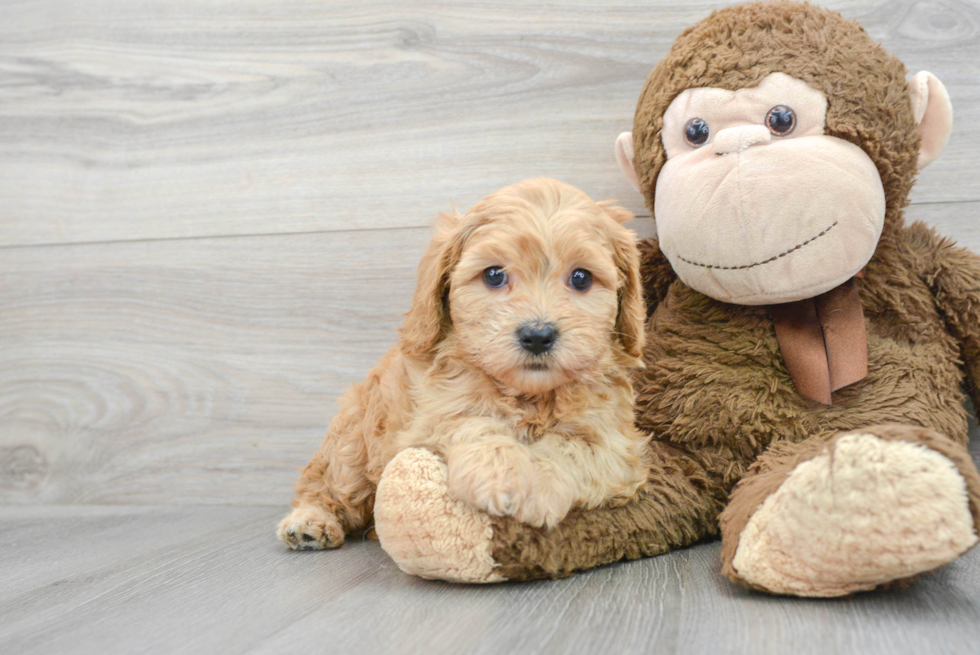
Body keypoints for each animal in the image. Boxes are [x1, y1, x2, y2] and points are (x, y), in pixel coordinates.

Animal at [280, 178, 648, 548]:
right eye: (494, 275)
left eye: (581, 278)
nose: (538, 335)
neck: (528, 396)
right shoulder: (432, 416)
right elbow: (471, 423)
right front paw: (500, 472)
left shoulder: (615, 445)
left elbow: (570, 449)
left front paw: (538, 485)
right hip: (353, 440)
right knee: (327, 483)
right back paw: (310, 521)